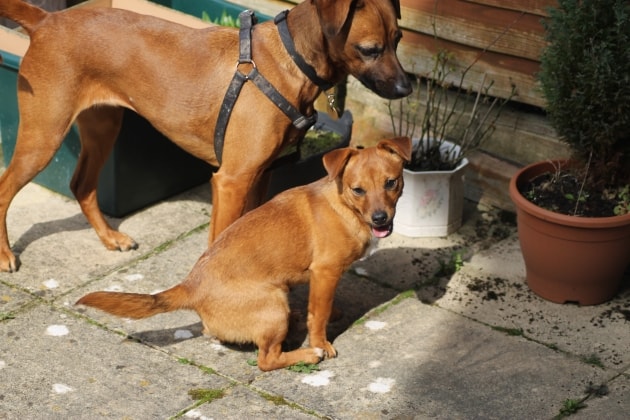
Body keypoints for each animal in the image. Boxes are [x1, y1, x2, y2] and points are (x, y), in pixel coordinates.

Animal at [0, 0, 414, 272]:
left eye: (399, 39)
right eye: (370, 49)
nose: (407, 88)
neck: (288, 60)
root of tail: (47, 19)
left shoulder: (260, 177)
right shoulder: (232, 181)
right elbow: (220, 237)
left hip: (103, 127)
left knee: (82, 185)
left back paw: (110, 238)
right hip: (43, 136)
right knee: (5, 190)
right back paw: (6, 256)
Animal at [78, 138, 414, 370]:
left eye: (391, 183)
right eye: (358, 190)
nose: (380, 219)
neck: (344, 206)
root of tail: (190, 287)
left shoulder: (324, 279)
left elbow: (323, 305)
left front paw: (330, 313)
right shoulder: (325, 272)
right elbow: (318, 315)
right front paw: (322, 342)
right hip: (274, 303)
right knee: (267, 360)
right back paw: (307, 353)